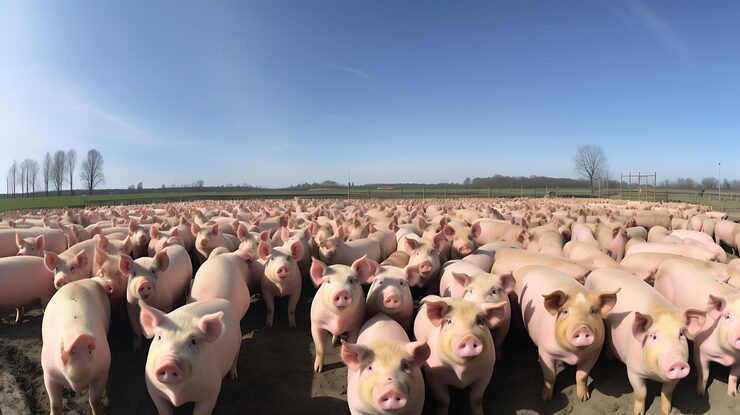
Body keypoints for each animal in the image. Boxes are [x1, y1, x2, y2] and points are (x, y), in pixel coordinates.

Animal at [41, 277, 112, 415]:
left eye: (90, 351)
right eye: (64, 347)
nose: (81, 338)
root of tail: (90, 279)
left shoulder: (102, 372)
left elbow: (95, 400)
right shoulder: (49, 373)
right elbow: (55, 404)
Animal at [514, 265, 619, 401]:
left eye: (593, 311)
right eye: (565, 311)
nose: (583, 328)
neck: (573, 356)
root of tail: (527, 267)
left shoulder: (594, 353)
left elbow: (582, 376)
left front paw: (583, 398)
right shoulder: (545, 351)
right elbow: (550, 376)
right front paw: (546, 399)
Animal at [585, 268, 706, 415]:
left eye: (681, 334)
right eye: (653, 337)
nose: (677, 362)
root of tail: (596, 271)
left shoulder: (676, 377)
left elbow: (667, 391)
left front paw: (666, 411)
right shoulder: (633, 370)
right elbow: (641, 393)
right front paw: (638, 413)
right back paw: (609, 358)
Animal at [653, 259, 740, 397]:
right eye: (727, 316)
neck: (728, 356)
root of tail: (667, 262)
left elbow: (734, 376)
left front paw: (732, 394)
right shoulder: (701, 349)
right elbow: (704, 373)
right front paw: (700, 394)